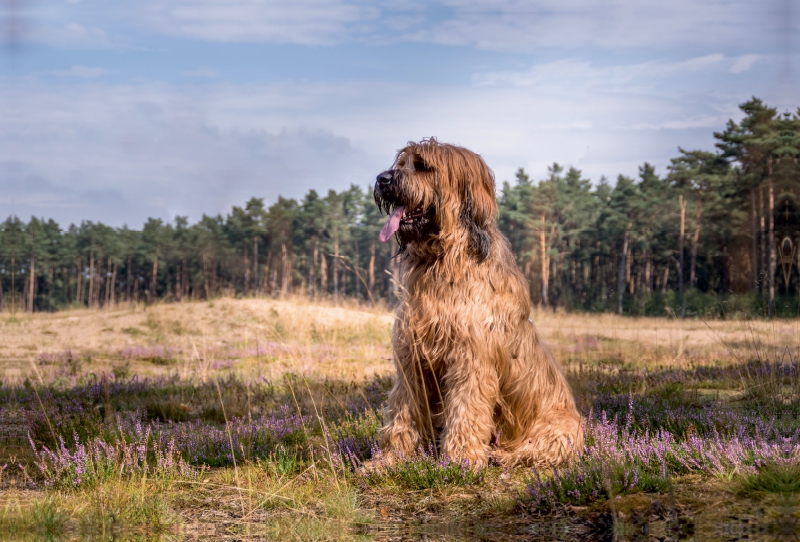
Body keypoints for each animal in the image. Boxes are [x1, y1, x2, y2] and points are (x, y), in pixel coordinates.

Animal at [372, 139, 584, 468]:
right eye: (402, 163)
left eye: (423, 166)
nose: (382, 179)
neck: (443, 260)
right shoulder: (411, 357)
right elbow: (403, 410)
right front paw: (390, 458)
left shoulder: (470, 357)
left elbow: (466, 410)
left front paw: (461, 460)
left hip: (561, 431)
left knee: (533, 450)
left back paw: (500, 453)